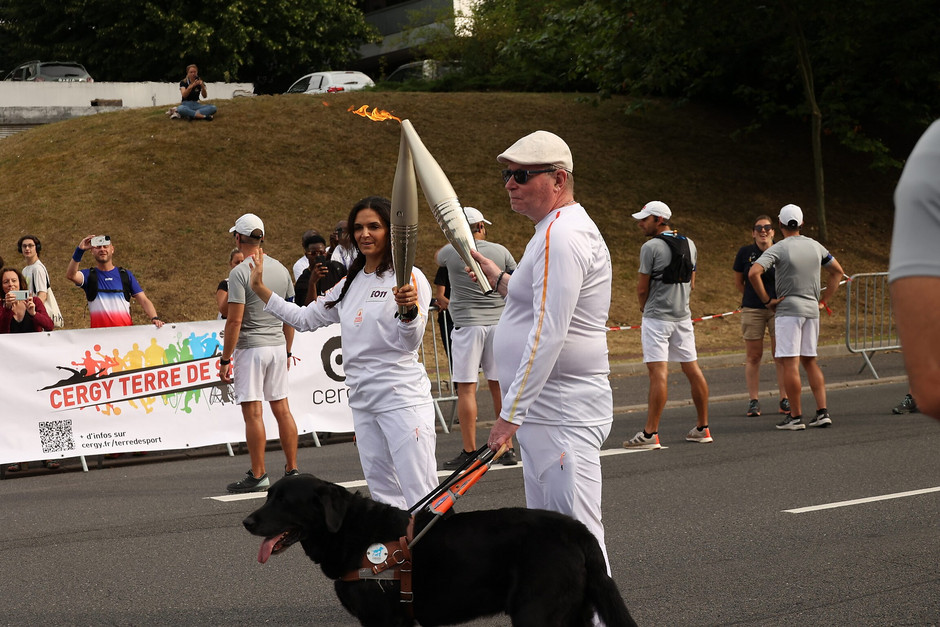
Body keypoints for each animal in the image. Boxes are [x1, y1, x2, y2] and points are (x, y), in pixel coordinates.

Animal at [244, 476, 640, 627]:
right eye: (268, 496)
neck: (352, 532)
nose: (247, 522)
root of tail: (578, 531)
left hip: (536, 613)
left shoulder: (385, 620)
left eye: (285, 501)